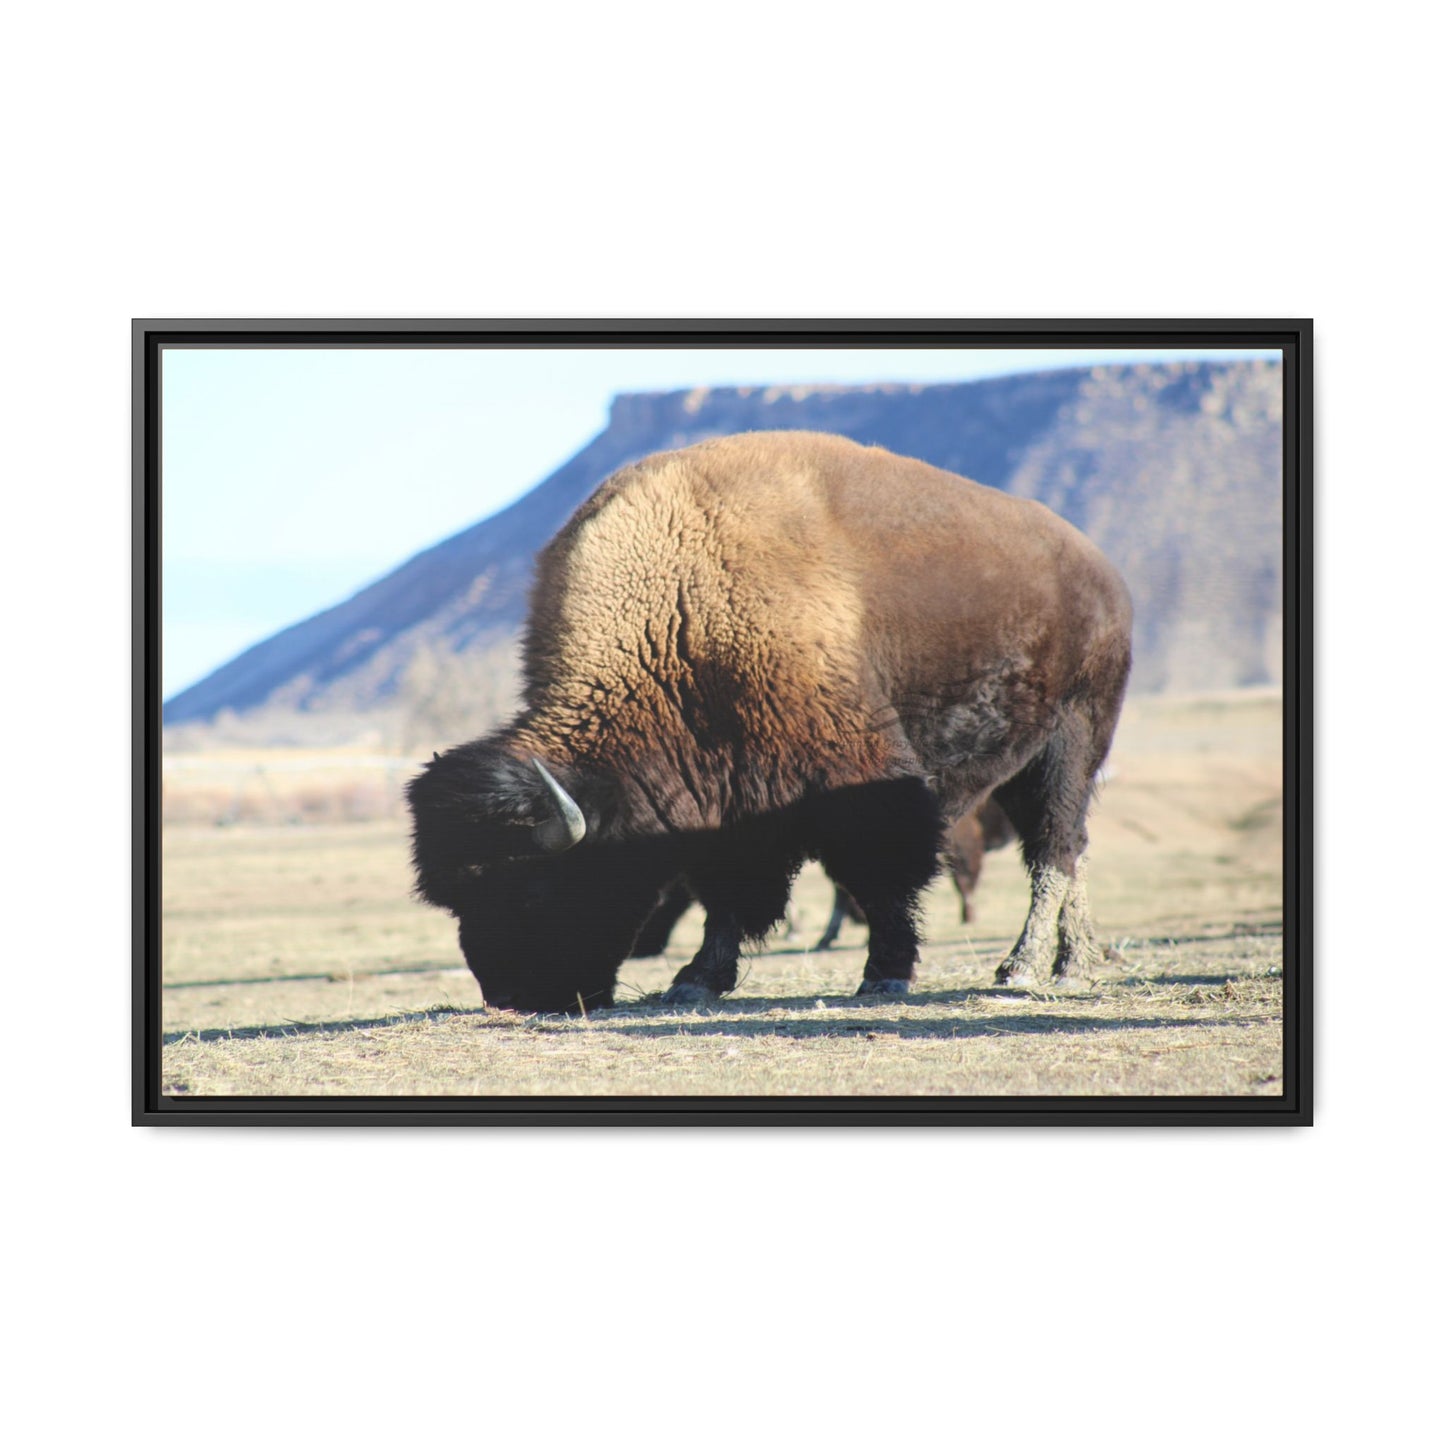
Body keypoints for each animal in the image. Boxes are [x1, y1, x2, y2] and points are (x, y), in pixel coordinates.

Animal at [408, 431, 1132, 1011]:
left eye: (530, 888)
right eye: (457, 899)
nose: (511, 995)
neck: (678, 614)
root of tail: (1101, 572)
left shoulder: (858, 780)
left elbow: (881, 876)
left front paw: (885, 973)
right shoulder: (724, 802)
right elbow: (726, 893)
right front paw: (695, 980)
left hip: (1072, 741)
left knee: (1054, 848)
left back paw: (1026, 967)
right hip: (1023, 763)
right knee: (1068, 849)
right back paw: (1074, 961)